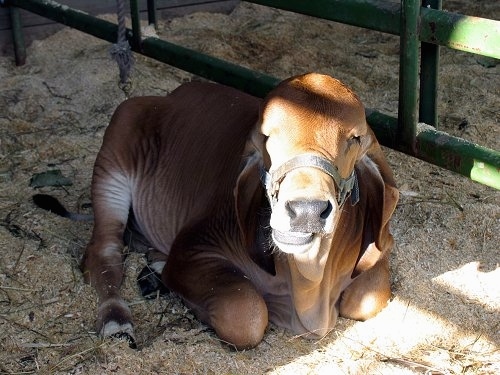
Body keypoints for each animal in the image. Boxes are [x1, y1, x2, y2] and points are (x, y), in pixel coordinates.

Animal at [34, 72, 398, 350]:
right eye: (267, 136)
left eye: (354, 139)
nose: (306, 210)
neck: (309, 280)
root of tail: (166, 97)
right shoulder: (194, 246)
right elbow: (246, 311)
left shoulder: (379, 253)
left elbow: (367, 298)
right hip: (112, 164)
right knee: (104, 251)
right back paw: (115, 319)